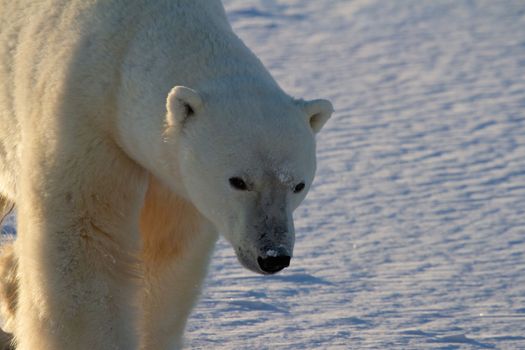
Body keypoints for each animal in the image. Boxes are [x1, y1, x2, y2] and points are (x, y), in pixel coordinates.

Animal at [1, 0, 332, 350]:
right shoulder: (85, 122)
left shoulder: (173, 178)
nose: (273, 256)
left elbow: (166, 257)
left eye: (298, 185)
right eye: (238, 181)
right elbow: (86, 246)